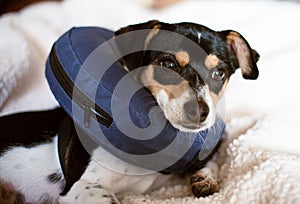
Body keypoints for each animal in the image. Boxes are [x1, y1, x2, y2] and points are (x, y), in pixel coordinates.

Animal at [0, 19, 258, 203]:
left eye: (219, 73)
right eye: (168, 64)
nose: (200, 112)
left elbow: (212, 159)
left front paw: (206, 177)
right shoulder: (82, 187)